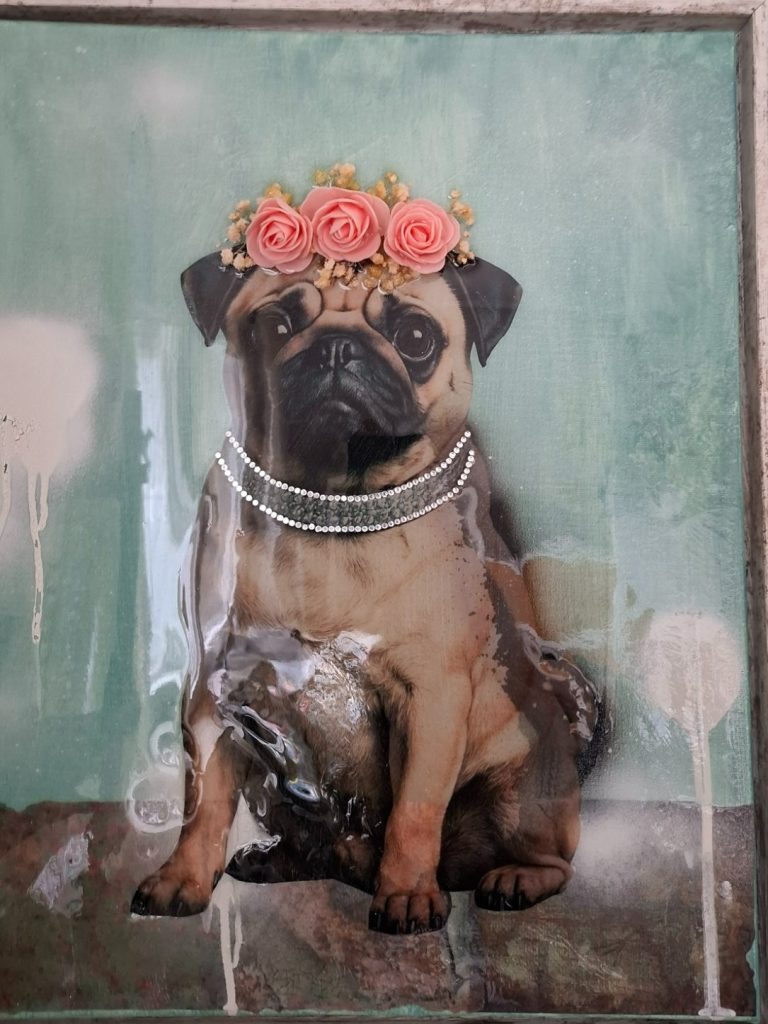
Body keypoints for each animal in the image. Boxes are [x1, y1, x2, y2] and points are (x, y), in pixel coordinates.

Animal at [131, 252, 597, 934]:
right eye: (274, 326)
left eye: (416, 337)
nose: (336, 346)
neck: (333, 511)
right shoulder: (215, 691)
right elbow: (202, 804)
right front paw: (180, 879)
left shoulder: (430, 700)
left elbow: (414, 812)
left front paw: (405, 895)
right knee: (311, 842)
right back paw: (277, 858)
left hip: (520, 789)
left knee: (553, 860)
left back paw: (513, 877)